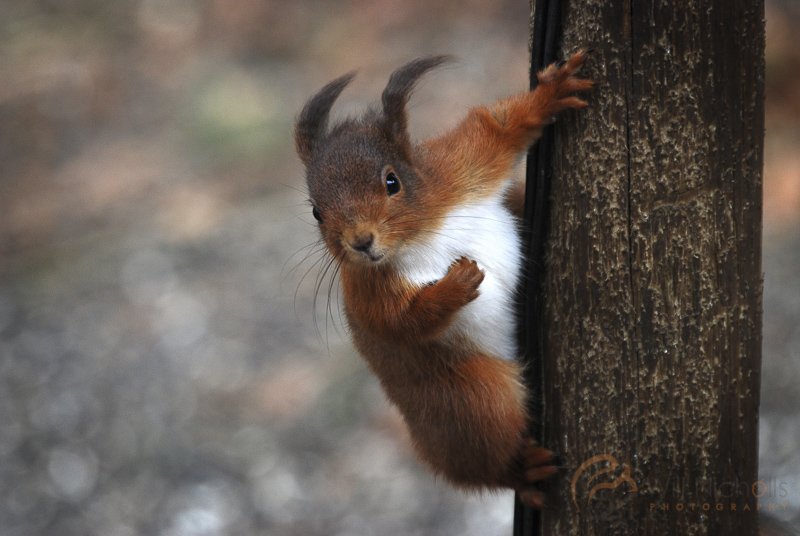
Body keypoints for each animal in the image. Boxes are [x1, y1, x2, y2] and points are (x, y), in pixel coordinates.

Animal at [296, 52, 592, 508]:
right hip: (471, 399)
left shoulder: (459, 167)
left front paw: (551, 93)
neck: (422, 234)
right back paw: (523, 470)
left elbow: (496, 127)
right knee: (488, 456)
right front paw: (457, 284)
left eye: (392, 181)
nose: (360, 242)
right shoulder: (366, 291)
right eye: (316, 212)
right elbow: (400, 322)